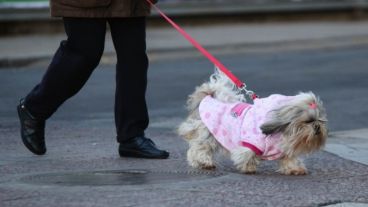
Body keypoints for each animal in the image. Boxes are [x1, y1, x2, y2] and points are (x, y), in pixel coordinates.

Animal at [178, 69, 328, 175]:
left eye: (320, 120)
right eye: (308, 121)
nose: (317, 126)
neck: (280, 132)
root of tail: (208, 97)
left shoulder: (285, 150)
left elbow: (289, 159)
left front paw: (295, 169)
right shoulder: (251, 144)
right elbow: (246, 155)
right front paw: (248, 168)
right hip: (208, 135)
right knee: (198, 148)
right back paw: (204, 162)